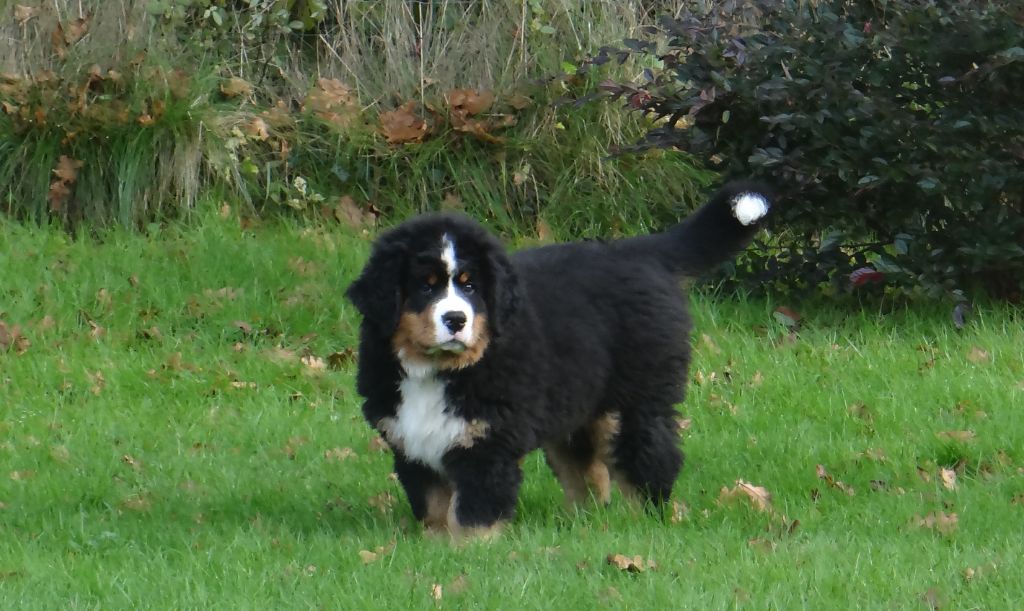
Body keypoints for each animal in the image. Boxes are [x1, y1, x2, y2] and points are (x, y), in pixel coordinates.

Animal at [344, 182, 770, 540]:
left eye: (470, 285)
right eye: (425, 286)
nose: (456, 319)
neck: (440, 371)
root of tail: (639, 252)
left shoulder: (487, 443)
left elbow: (473, 514)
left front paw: (469, 553)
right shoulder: (411, 441)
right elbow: (433, 508)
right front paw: (434, 547)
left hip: (634, 400)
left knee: (650, 459)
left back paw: (643, 520)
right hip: (576, 405)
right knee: (587, 471)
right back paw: (582, 522)